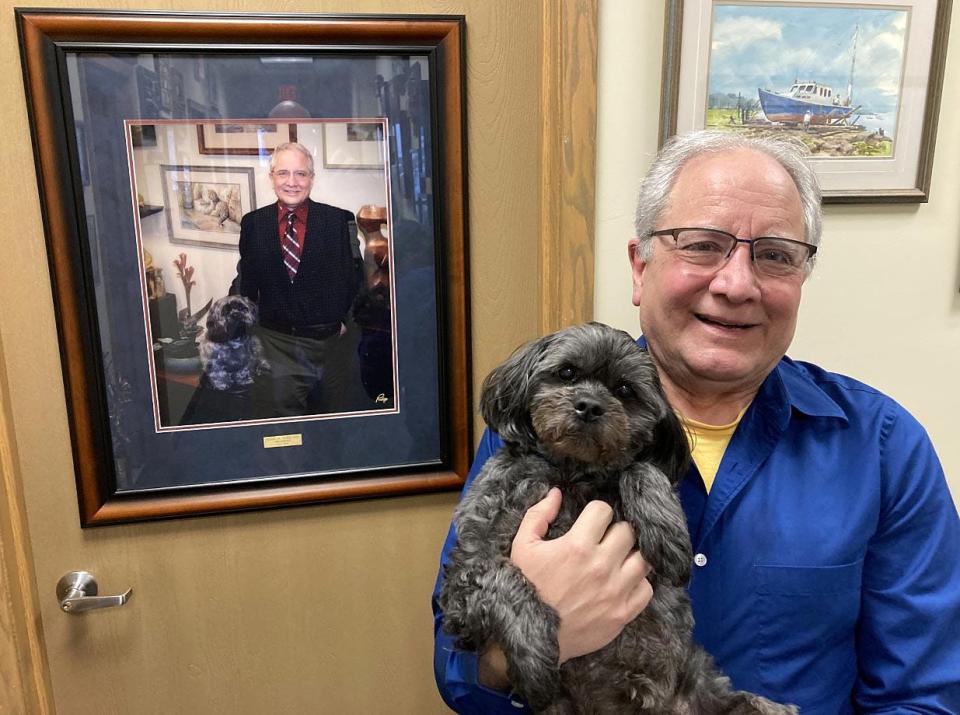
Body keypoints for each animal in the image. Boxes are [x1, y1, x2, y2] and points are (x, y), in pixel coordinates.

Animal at [438, 326, 800, 715]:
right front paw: (534, 656)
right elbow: (504, 579)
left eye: (625, 390)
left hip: (705, 682)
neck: (574, 476)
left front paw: (667, 533)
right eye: (567, 372)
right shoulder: (464, 580)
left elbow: (640, 467)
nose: (589, 406)